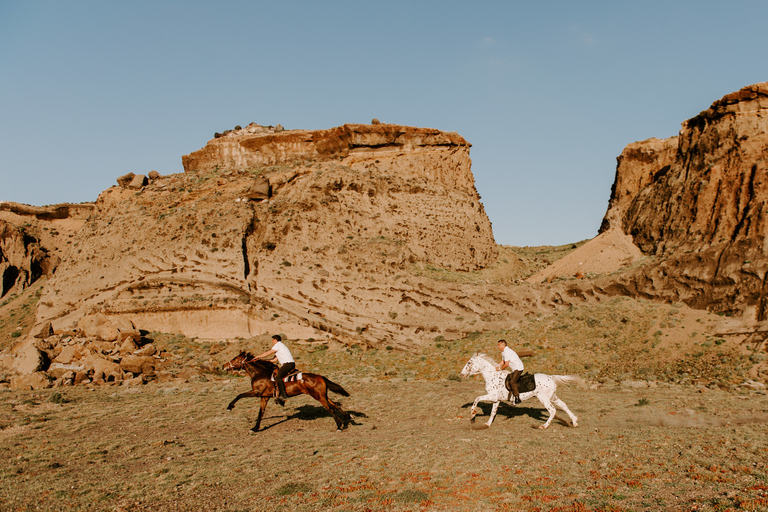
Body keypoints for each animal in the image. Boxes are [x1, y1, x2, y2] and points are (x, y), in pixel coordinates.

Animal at [224, 352, 352, 432]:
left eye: (235, 359)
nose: (223, 366)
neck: (259, 373)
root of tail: (321, 377)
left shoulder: (257, 392)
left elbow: (239, 395)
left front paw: (230, 406)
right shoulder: (264, 397)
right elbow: (261, 412)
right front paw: (255, 428)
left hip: (319, 397)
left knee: (330, 408)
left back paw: (339, 426)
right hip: (322, 395)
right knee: (334, 404)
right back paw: (347, 416)